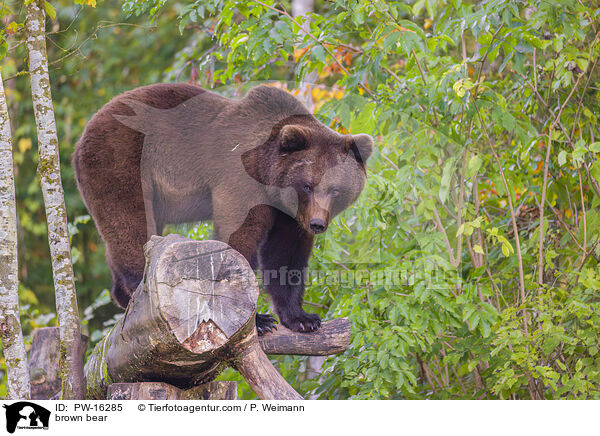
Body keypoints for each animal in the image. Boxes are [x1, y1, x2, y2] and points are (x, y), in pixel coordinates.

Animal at [70, 84, 370, 334]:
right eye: (308, 185)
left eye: (336, 189)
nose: (317, 223)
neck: (267, 175)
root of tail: (82, 135)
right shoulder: (240, 181)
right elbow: (238, 239)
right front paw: (257, 320)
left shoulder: (290, 214)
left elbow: (286, 254)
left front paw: (301, 318)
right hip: (121, 159)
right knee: (130, 222)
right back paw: (137, 288)